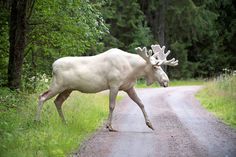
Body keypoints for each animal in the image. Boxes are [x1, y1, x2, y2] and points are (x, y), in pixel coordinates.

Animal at [35, 44, 177, 131]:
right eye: (155, 67)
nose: (166, 81)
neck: (132, 70)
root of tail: (53, 66)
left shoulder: (129, 87)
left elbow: (141, 103)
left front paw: (150, 124)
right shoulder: (114, 85)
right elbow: (112, 106)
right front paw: (109, 126)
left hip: (67, 89)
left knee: (57, 101)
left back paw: (64, 123)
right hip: (57, 85)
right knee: (42, 96)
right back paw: (38, 121)